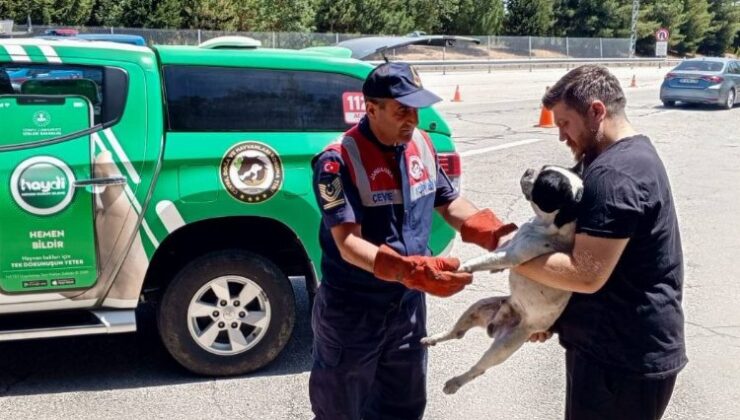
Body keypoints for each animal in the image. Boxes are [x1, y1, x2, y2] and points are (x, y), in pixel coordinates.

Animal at [422, 165, 584, 394]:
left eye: (544, 183)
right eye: (543, 169)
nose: (529, 170)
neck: (545, 225)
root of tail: (494, 326)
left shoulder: (512, 255)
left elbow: (484, 259)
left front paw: (461, 267)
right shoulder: (509, 246)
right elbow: (497, 251)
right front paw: (493, 269)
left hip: (503, 347)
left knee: (478, 369)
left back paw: (455, 382)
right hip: (478, 306)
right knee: (457, 332)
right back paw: (434, 338)